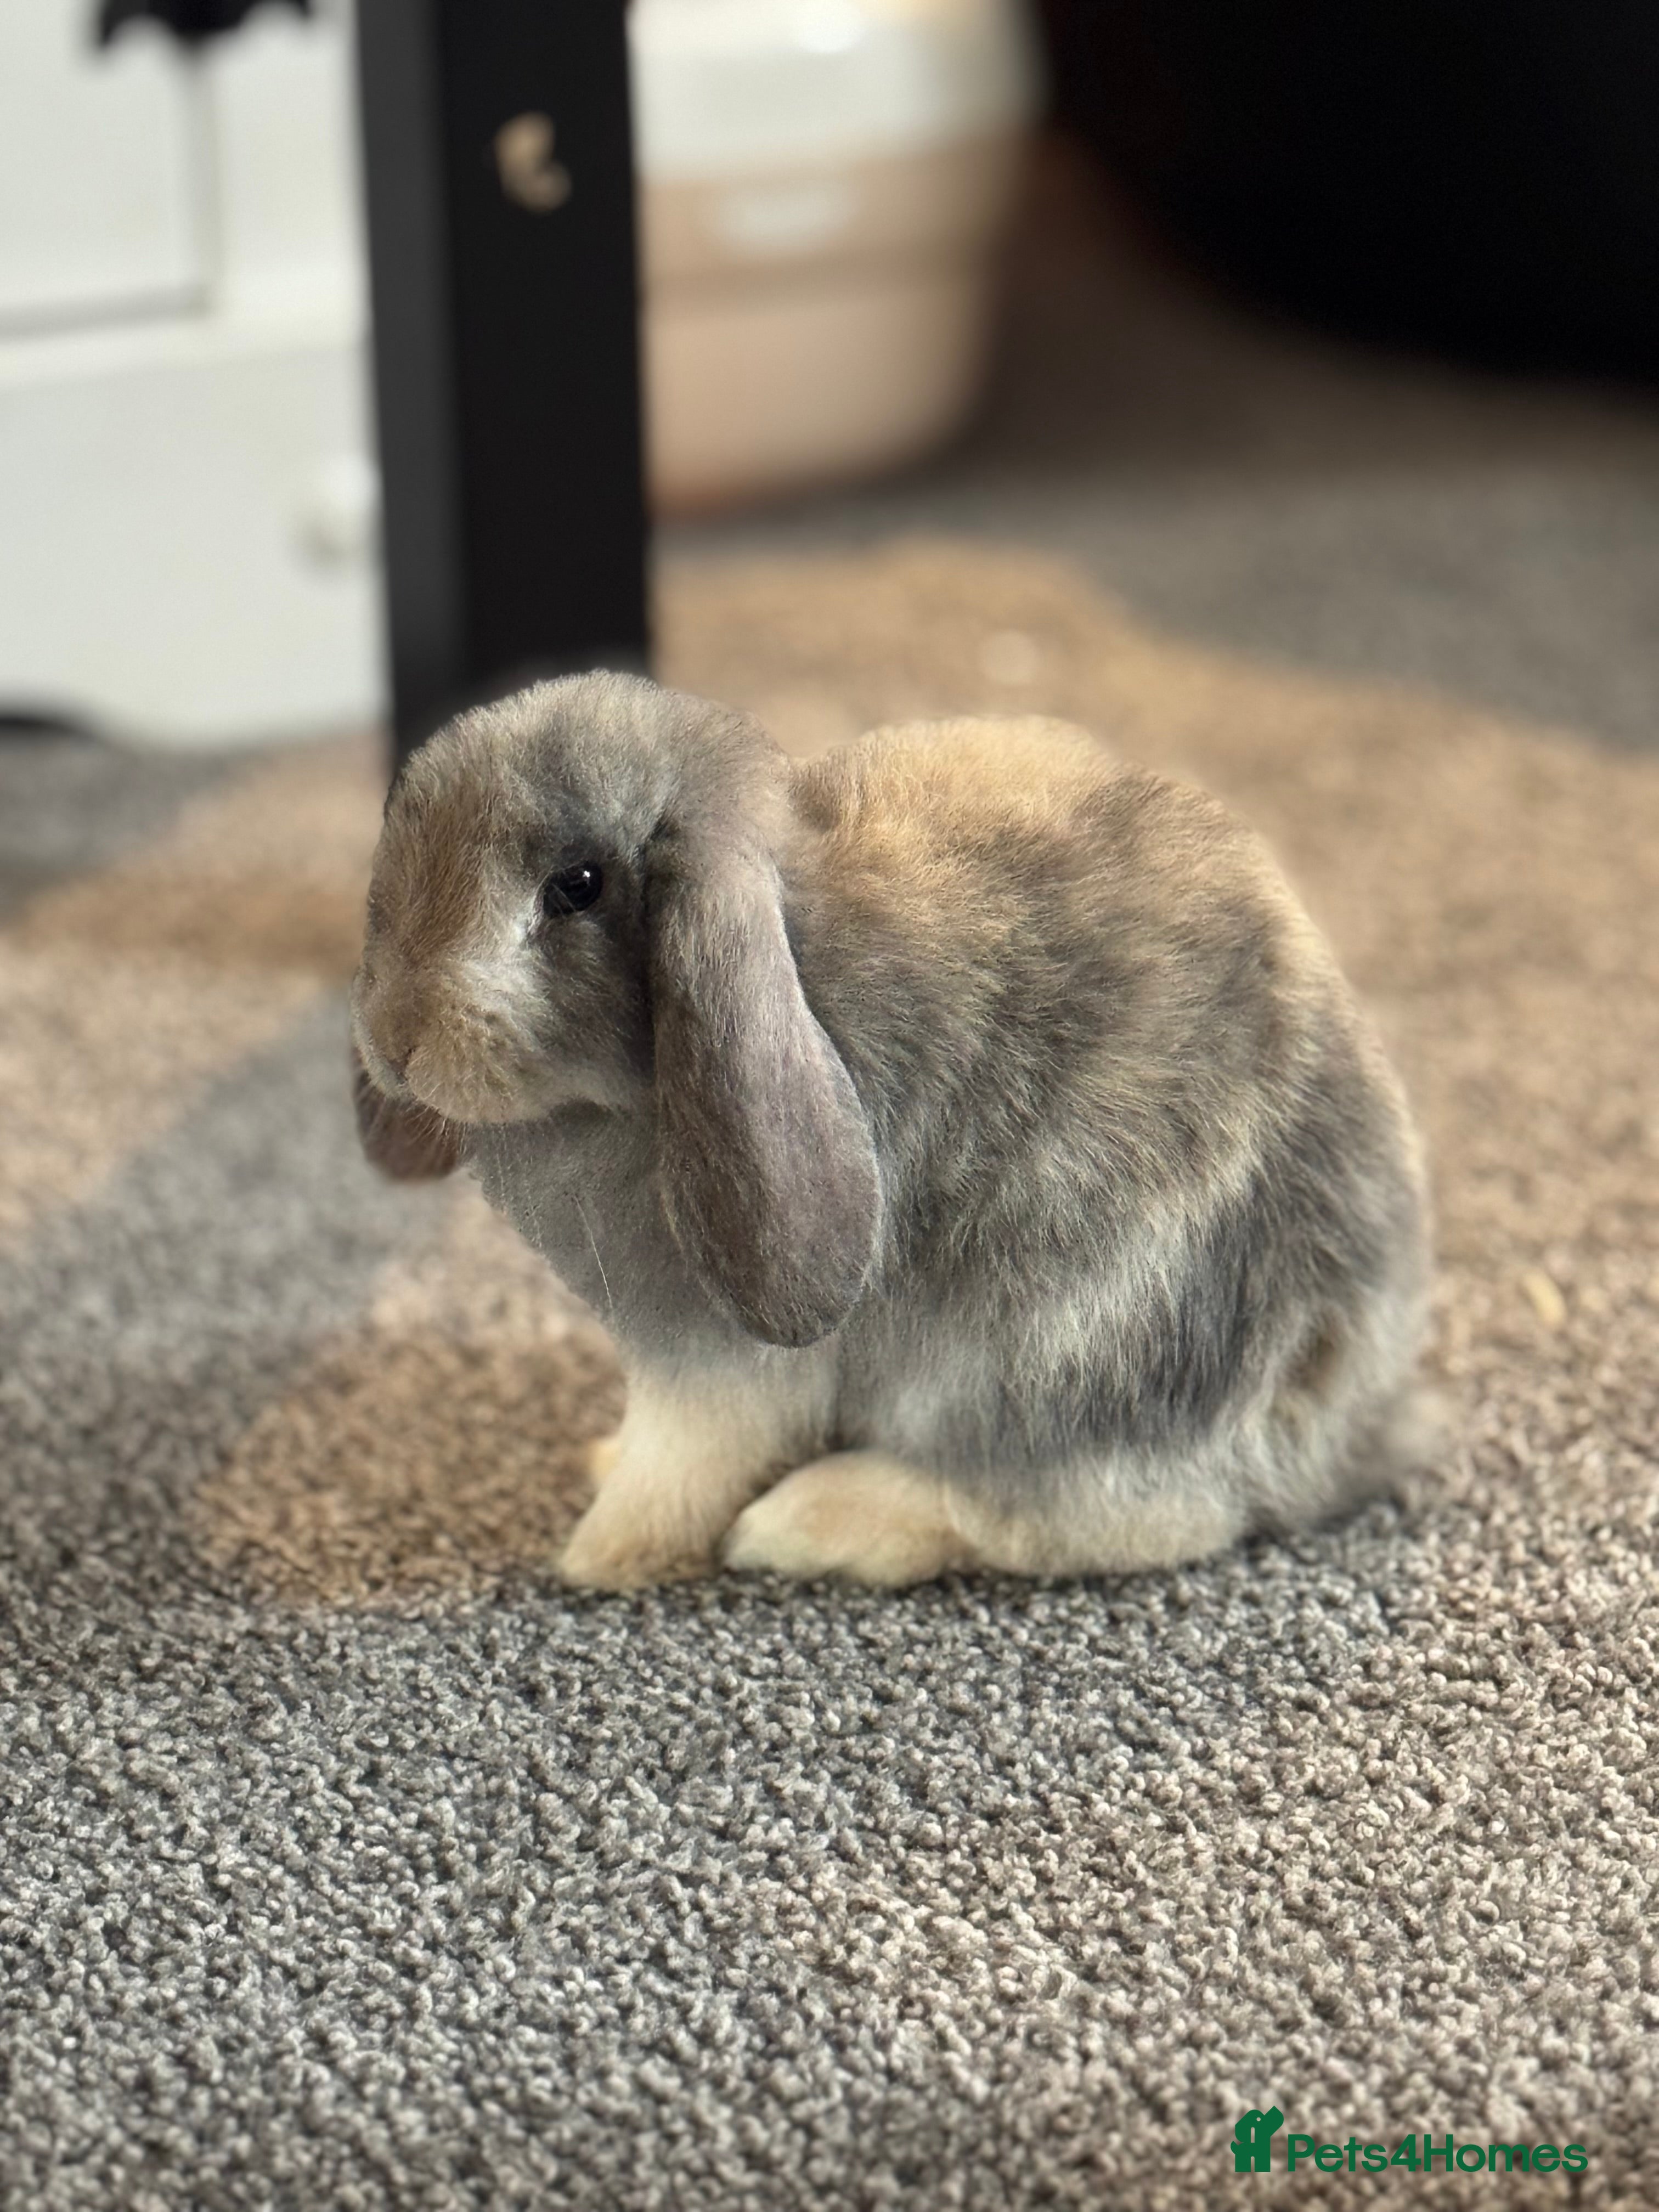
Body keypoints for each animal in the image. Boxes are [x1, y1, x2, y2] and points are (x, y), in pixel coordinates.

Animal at [350, 671, 1431, 1591]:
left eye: (575, 885)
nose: (396, 1036)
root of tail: (1357, 1421)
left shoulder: (721, 1362)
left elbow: (681, 1462)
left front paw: (597, 1556)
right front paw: (600, 1464)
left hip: (1052, 1349)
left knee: (1119, 1510)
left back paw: (807, 1522)